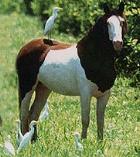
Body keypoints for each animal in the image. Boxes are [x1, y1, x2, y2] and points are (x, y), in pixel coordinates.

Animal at [15, 2, 127, 142]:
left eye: (122, 22)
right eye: (108, 23)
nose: (118, 43)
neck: (93, 57)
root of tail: (24, 48)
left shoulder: (105, 95)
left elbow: (100, 120)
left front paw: (100, 142)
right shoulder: (85, 93)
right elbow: (85, 119)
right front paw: (83, 142)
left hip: (43, 88)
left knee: (33, 114)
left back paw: (34, 140)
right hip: (27, 87)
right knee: (23, 114)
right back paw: (23, 140)